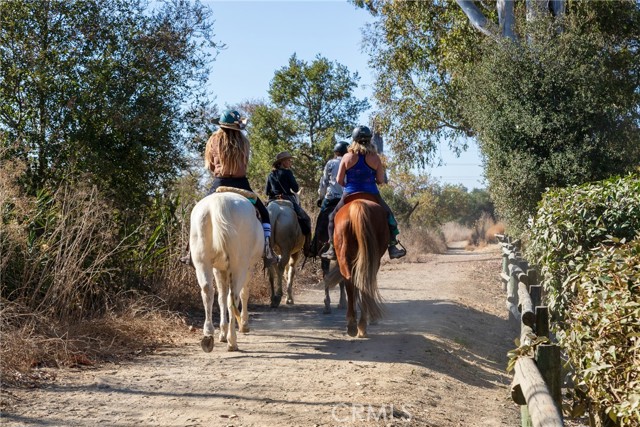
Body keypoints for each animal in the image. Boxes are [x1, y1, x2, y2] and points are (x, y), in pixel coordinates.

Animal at [189, 192, 264, 352]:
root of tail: (219, 201)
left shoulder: (218, 269)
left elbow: (220, 298)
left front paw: (222, 333)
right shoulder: (249, 267)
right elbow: (244, 293)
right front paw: (243, 325)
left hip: (202, 261)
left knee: (208, 292)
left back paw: (208, 335)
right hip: (239, 265)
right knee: (233, 297)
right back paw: (232, 341)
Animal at [322, 193, 388, 338]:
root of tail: (358, 205)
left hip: (346, 255)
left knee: (351, 281)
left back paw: (354, 324)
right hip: (372, 258)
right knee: (363, 281)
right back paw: (360, 324)